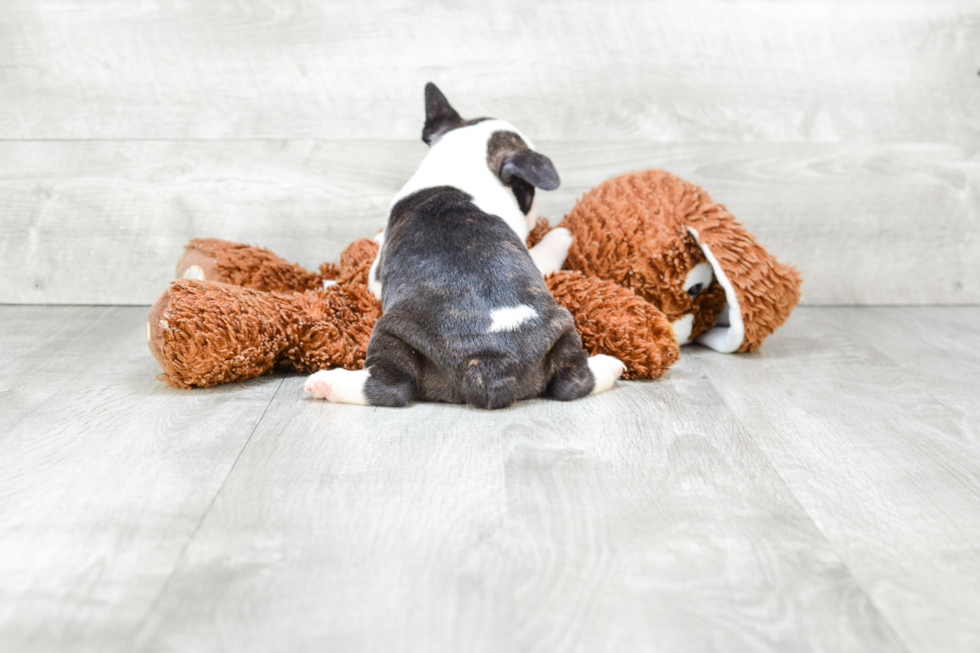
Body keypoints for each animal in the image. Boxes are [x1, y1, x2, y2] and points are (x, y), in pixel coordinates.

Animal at [302, 83, 624, 404]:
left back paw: (328, 383)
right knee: (574, 379)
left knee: (390, 386)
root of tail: (495, 363)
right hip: (562, 327)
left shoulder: (376, 275)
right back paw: (607, 366)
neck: (464, 165)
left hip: (393, 330)